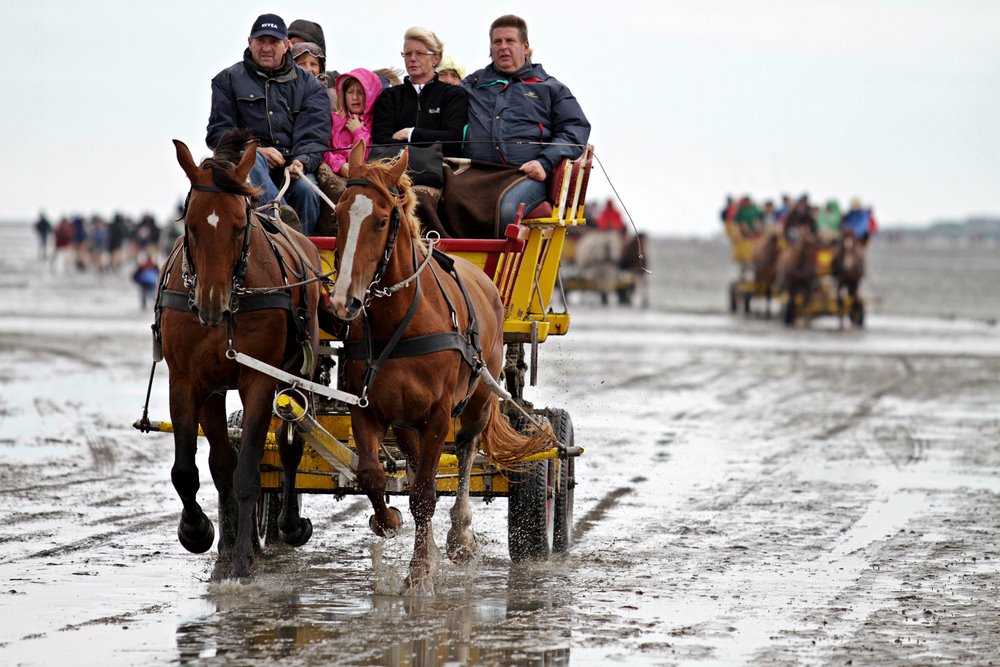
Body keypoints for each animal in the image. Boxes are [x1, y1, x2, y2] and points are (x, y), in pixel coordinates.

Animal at [160, 130, 322, 580]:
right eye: (191, 225)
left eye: (238, 227)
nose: (210, 305)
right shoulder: (190, 382)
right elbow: (198, 469)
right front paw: (202, 534)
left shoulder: (260, 381)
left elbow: (249, 470)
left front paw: (244, 561)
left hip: (297, 374)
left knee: (287, 447)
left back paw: (288, 524)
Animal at [332, 141, 552, 596]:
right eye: (339, 215)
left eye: (381, 221)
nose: (344, 300)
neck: (402, 318)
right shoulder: (367, 408)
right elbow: (373, 476)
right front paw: (388, 521)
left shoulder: (437, 415)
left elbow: (425, 495)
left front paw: (419, 574)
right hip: (406, 420)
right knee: (417, 463)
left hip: (478, 400)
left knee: (466, 451)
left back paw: (459, 536)